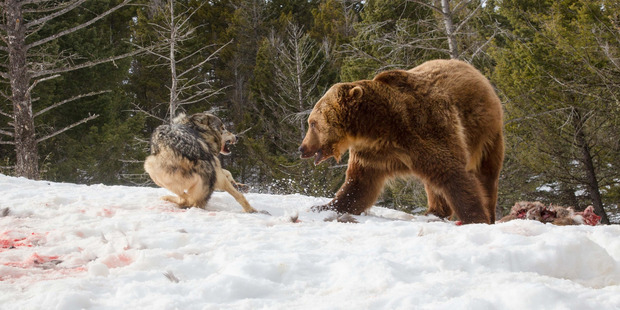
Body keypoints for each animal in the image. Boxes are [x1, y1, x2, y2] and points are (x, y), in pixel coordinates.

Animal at [300, 58, 504, 223]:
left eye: (312, 123)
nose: (302, 148)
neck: (378, 127)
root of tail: (473, 70)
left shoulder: (425, 127)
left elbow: (453, 172)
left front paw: (475, 217)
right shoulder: (373, 154)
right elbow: (359, 185)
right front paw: (323, 206)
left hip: (485, 131)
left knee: (486, 174)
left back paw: (488, 212)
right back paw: (434, 212)